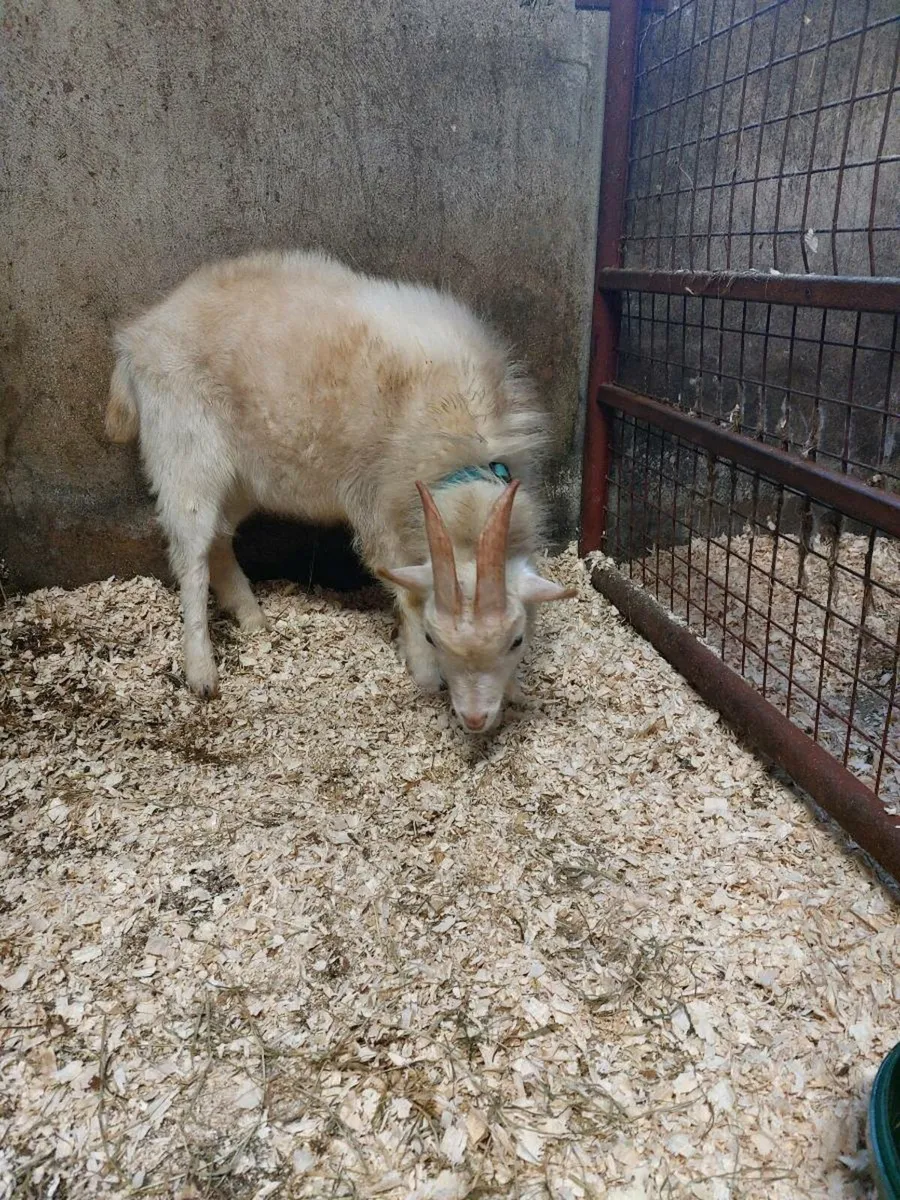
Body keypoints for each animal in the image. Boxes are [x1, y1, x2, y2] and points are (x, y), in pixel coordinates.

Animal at [106, 250, 575, 733]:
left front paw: (513, 689)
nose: (475, 718)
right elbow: (404, 589)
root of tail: (141, 334)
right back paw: (201, 670)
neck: (465, 442)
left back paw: (253, 618)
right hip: (184, 449)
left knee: (218, 540)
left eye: (517, 640)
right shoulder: (380, 506)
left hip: (242, 476)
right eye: (433, 636)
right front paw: (424, 673)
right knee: (190, 553)